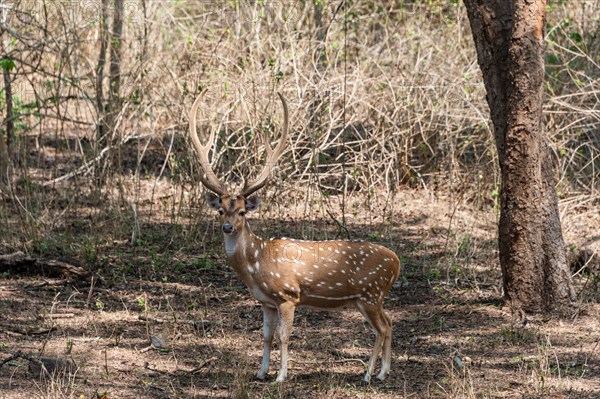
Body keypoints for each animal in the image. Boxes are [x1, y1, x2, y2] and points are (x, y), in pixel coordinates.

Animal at [190, 91, 400, 384]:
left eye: (242, 211)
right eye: (221, 210)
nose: (228, 228)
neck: (256, 263)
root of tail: (397, 262)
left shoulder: (288, 295)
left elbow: (284, 336)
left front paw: (280, 376)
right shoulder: (265, 301)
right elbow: (266, 335)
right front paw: (261, 372)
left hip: (371, 293)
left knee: (381, 328)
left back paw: (369, 375)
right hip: (370, 298)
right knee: (390, 322)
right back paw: (383, 372)